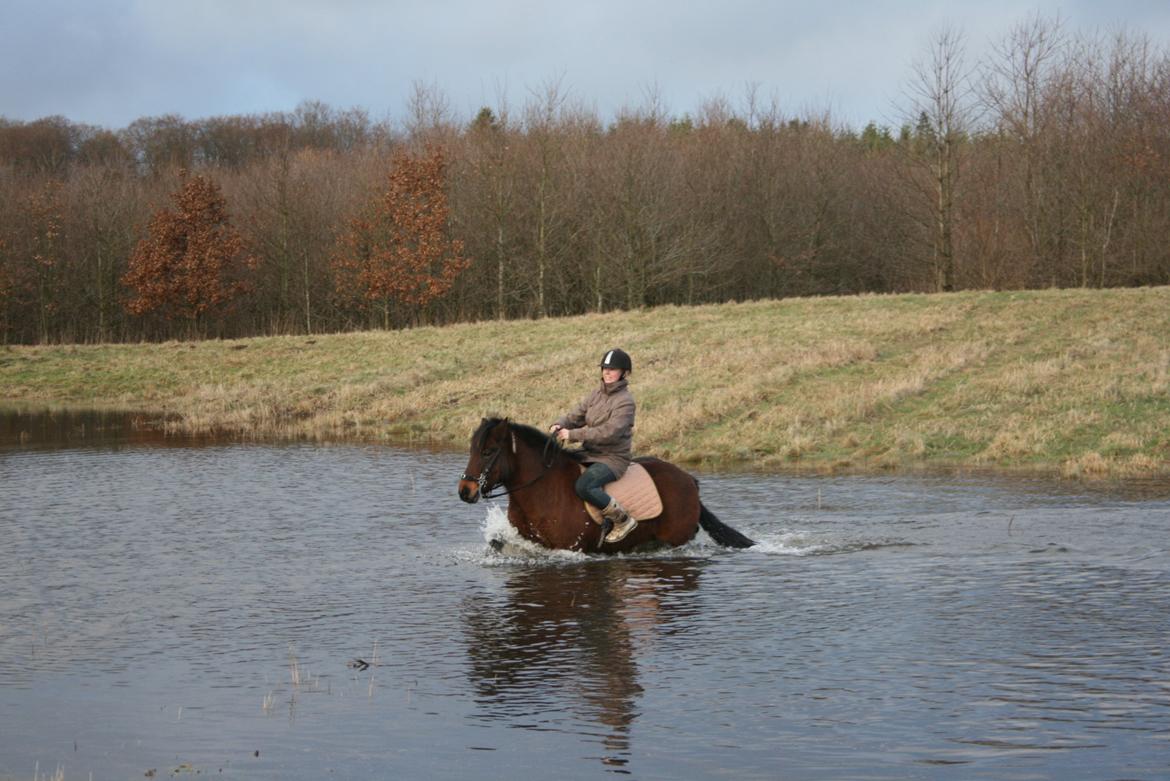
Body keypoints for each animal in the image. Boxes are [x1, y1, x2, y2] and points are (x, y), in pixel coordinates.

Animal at [451, 418, 753, 551]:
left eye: (488, 452)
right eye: (473, 450)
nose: (465, 491)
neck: (542, 489)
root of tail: (689, 480)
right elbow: (498, 542)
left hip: (674, 539)